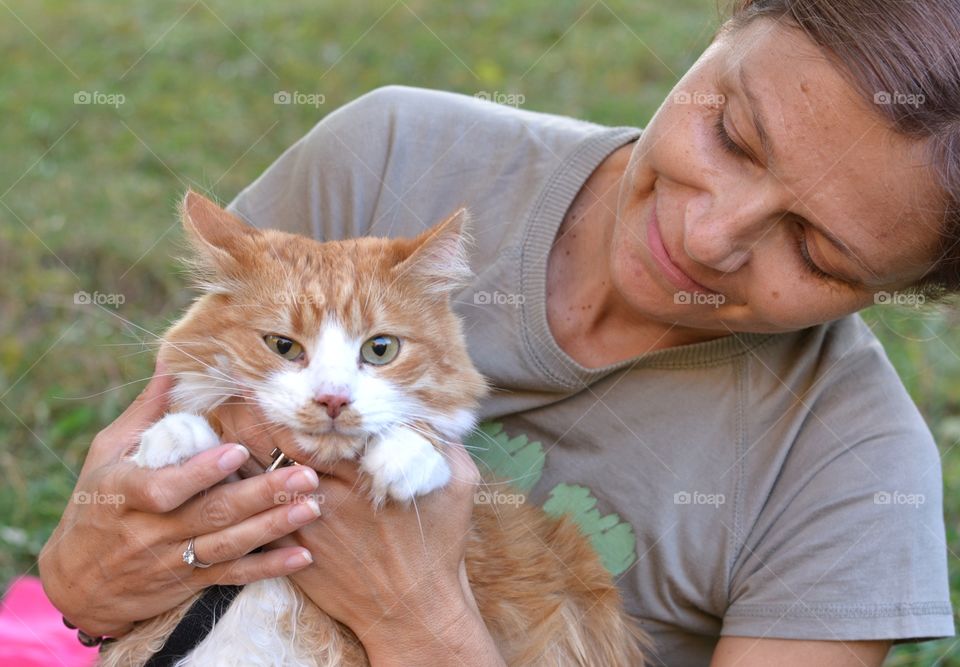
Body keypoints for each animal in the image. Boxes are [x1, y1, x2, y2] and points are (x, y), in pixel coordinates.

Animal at [97, 190, 648, 664]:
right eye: (283, 346)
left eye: (380, 349)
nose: (333, 399)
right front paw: (175, 440)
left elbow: (428, 436)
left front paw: (404, 458)